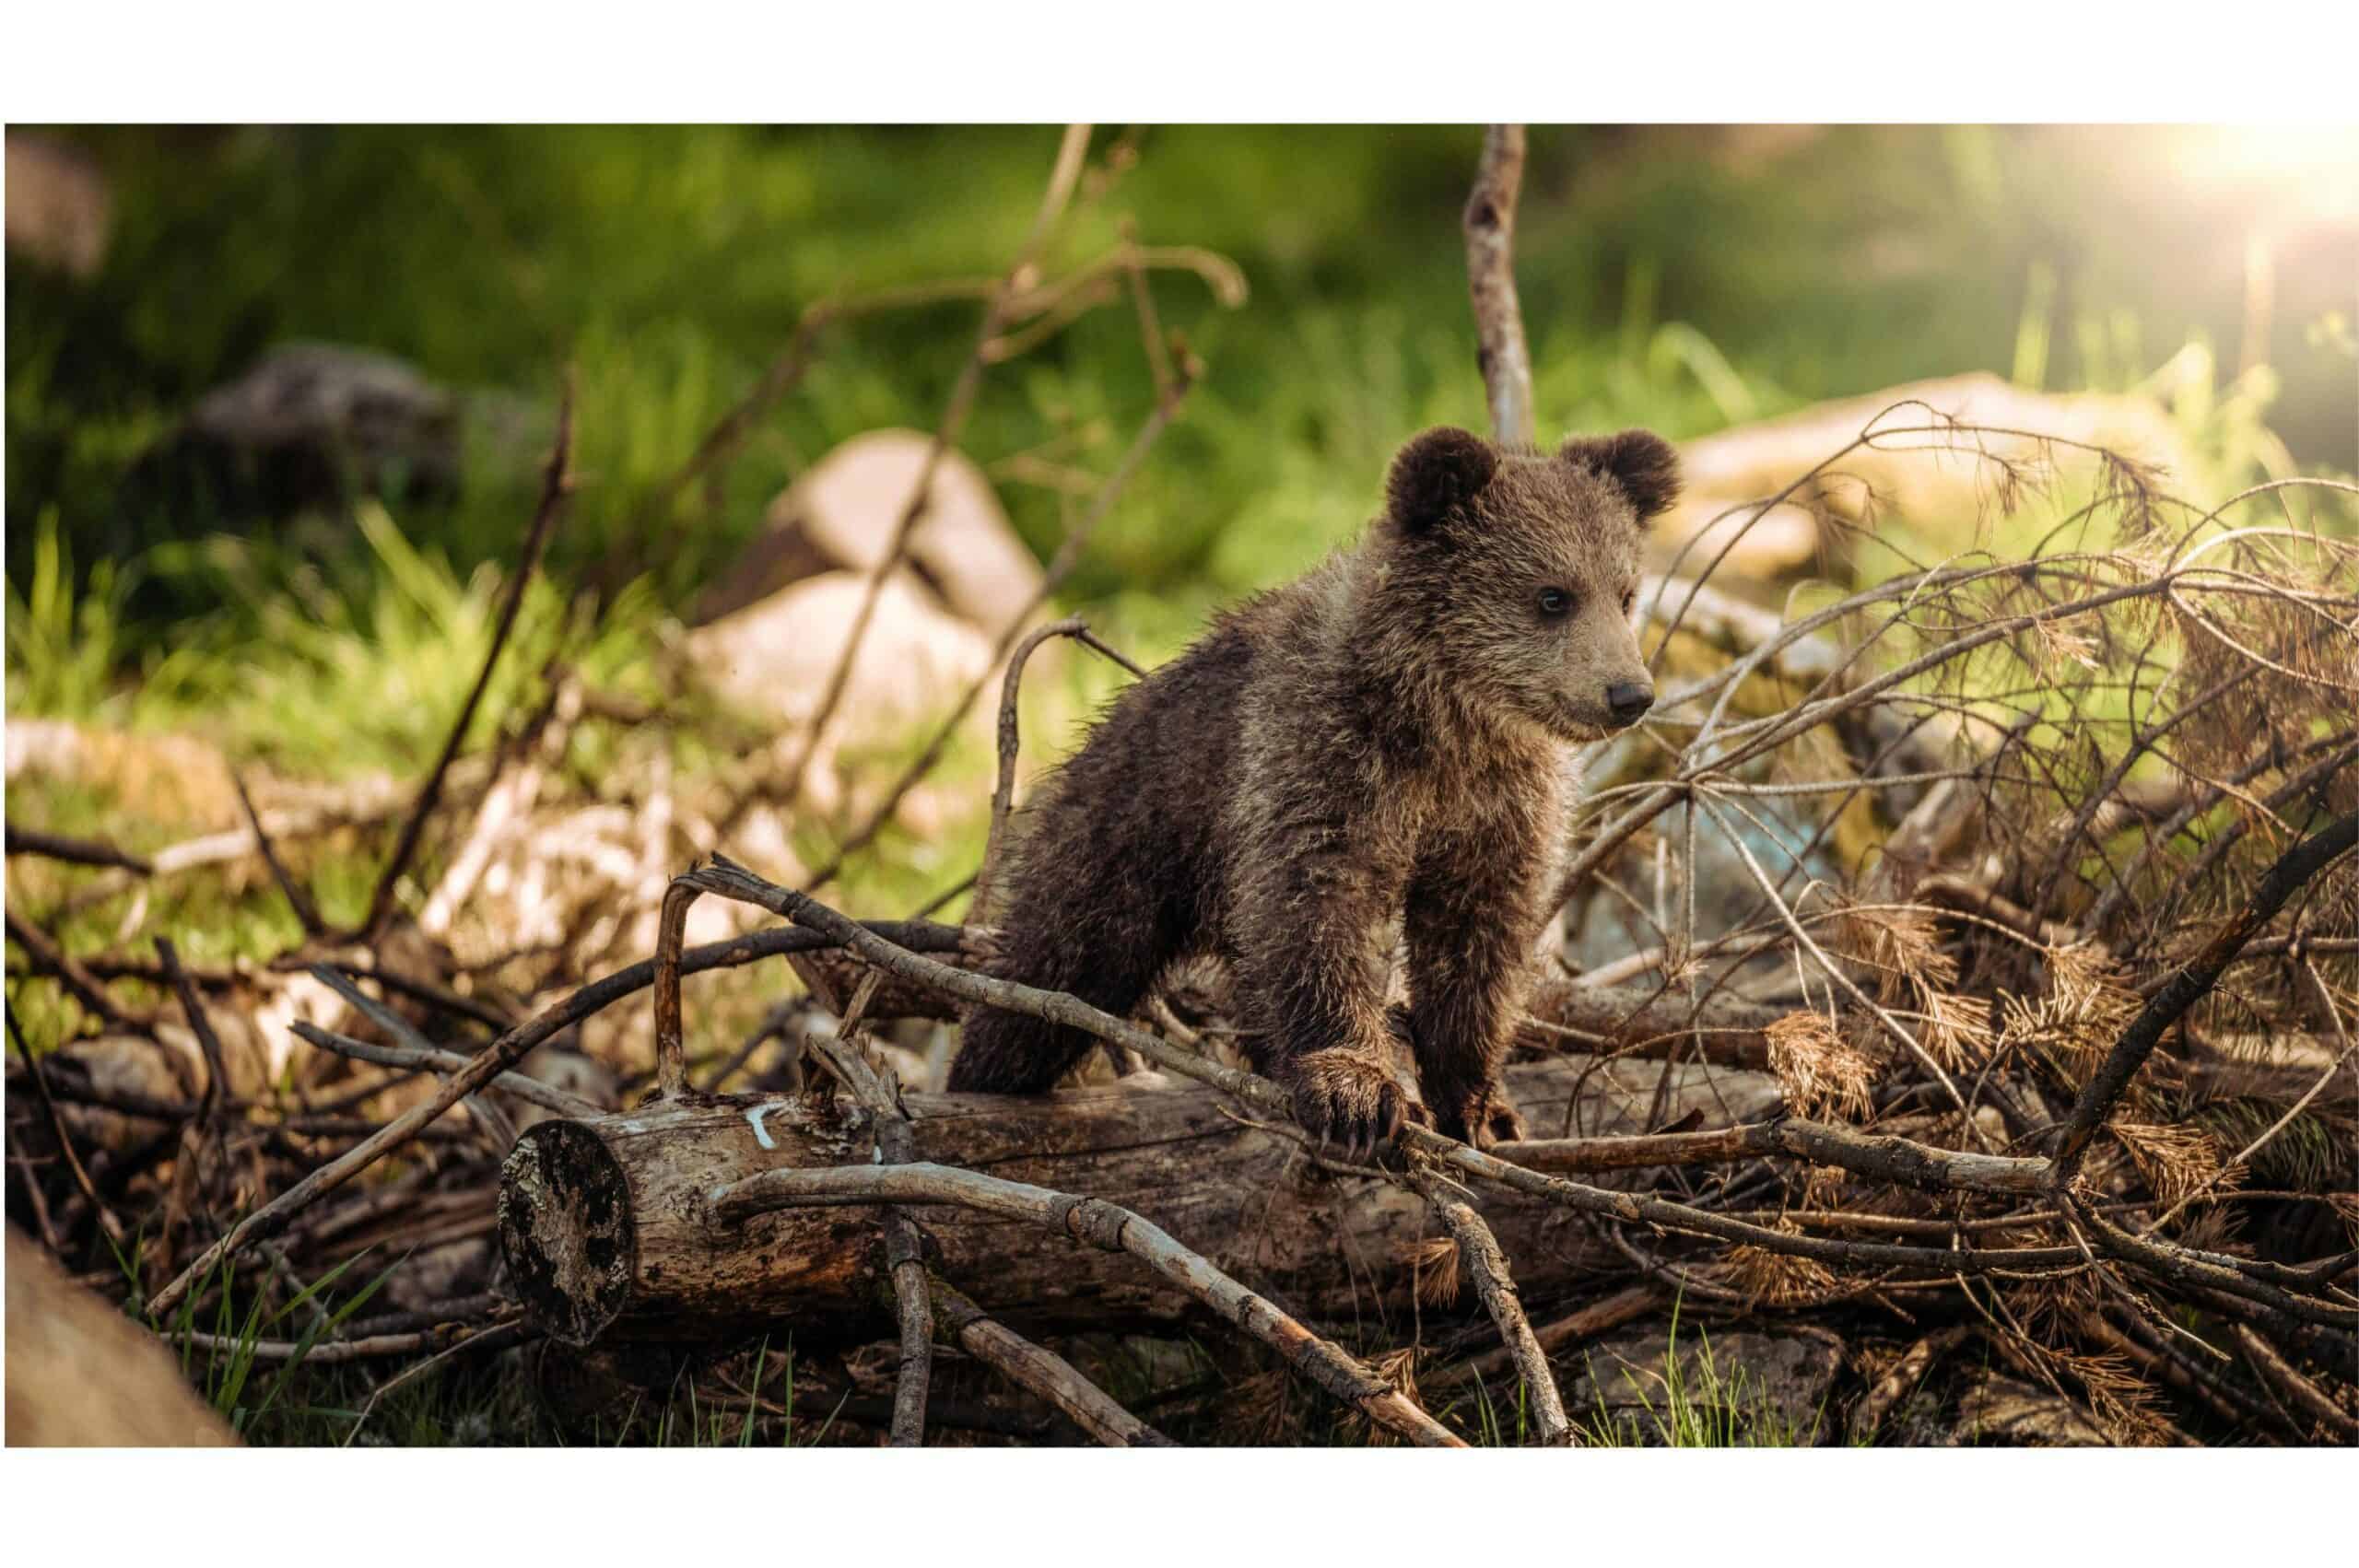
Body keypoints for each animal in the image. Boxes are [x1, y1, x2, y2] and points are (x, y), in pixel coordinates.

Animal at [948, 424, 1680, 1152]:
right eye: (1552, 596)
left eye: (1625, 592)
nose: (1628, 694)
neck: (1446, 724)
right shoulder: (1322, 760)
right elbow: (1317, 909)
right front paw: (1355, 1090)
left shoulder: (1498, 806)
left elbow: (1477, 939)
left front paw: (1480, 1106)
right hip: (1123, 837)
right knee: (1049, 972)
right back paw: (984, 1075)